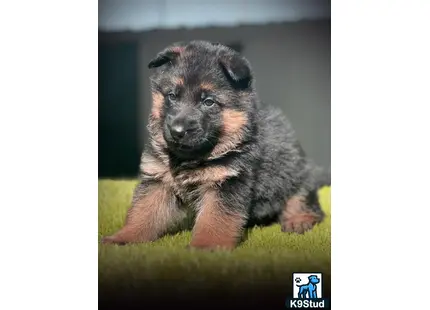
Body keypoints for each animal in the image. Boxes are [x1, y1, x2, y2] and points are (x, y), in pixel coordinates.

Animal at [101, 40, 330, 251]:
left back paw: (299, 220)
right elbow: (143, 213)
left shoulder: (226, 183)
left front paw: (206, 246)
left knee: (304, 202)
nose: (177, 131)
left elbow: (215, 219)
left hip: (296, 176)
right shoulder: (158, 182)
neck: (191, 157)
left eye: (208, 102)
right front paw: (124, 237)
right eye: (172, 96)